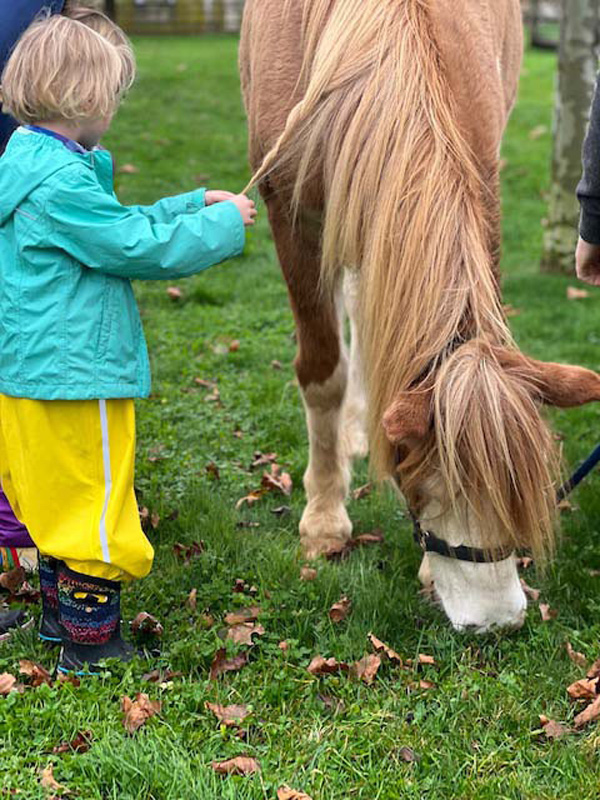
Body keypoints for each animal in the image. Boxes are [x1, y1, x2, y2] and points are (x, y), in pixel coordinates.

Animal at [239, 0, 600, 632]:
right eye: (433, 483)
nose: (497, 620)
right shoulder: (292, 214)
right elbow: (323, 373)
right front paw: (324, 517)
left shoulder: (480, 182)